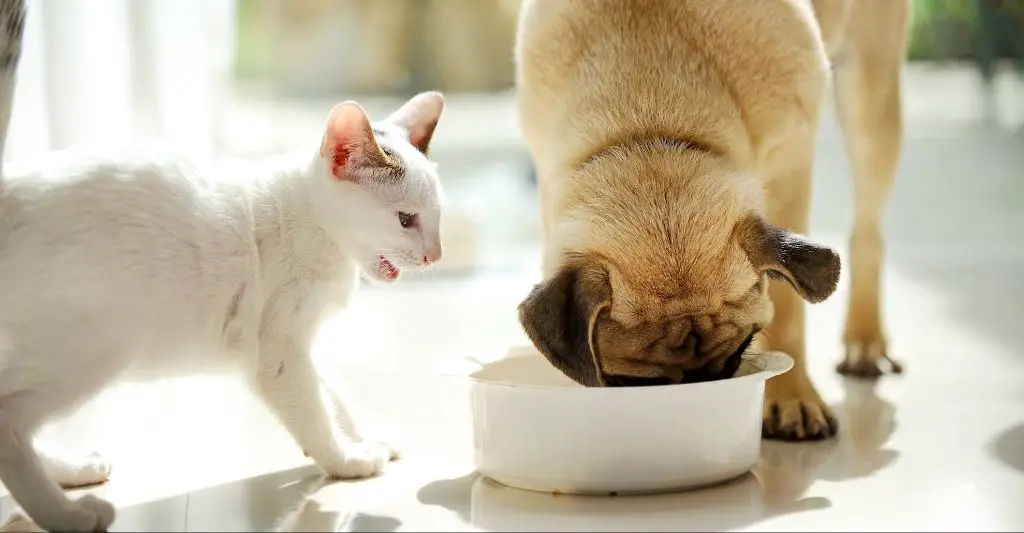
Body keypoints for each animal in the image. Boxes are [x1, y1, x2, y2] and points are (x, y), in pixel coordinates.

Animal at [0, 2, 444, 527]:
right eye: (405, 220)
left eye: (438, 218)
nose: (435, 255)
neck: (315, 229)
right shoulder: (276, 351)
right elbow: (312, 407)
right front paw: (346, 458)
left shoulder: (299, 340)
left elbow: (332, 392)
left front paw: (358, 436)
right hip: (96, 347)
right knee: (8, 420)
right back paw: (65, 514)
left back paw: (67, 472)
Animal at [516, 0, 909, 439]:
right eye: (629, 384)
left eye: (740, 353)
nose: (699, 389)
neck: (649, 126)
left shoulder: (790, 166)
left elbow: (788, 309)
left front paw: (792, 396)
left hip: (871, 95)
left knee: (867, 231)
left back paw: (865, 340)